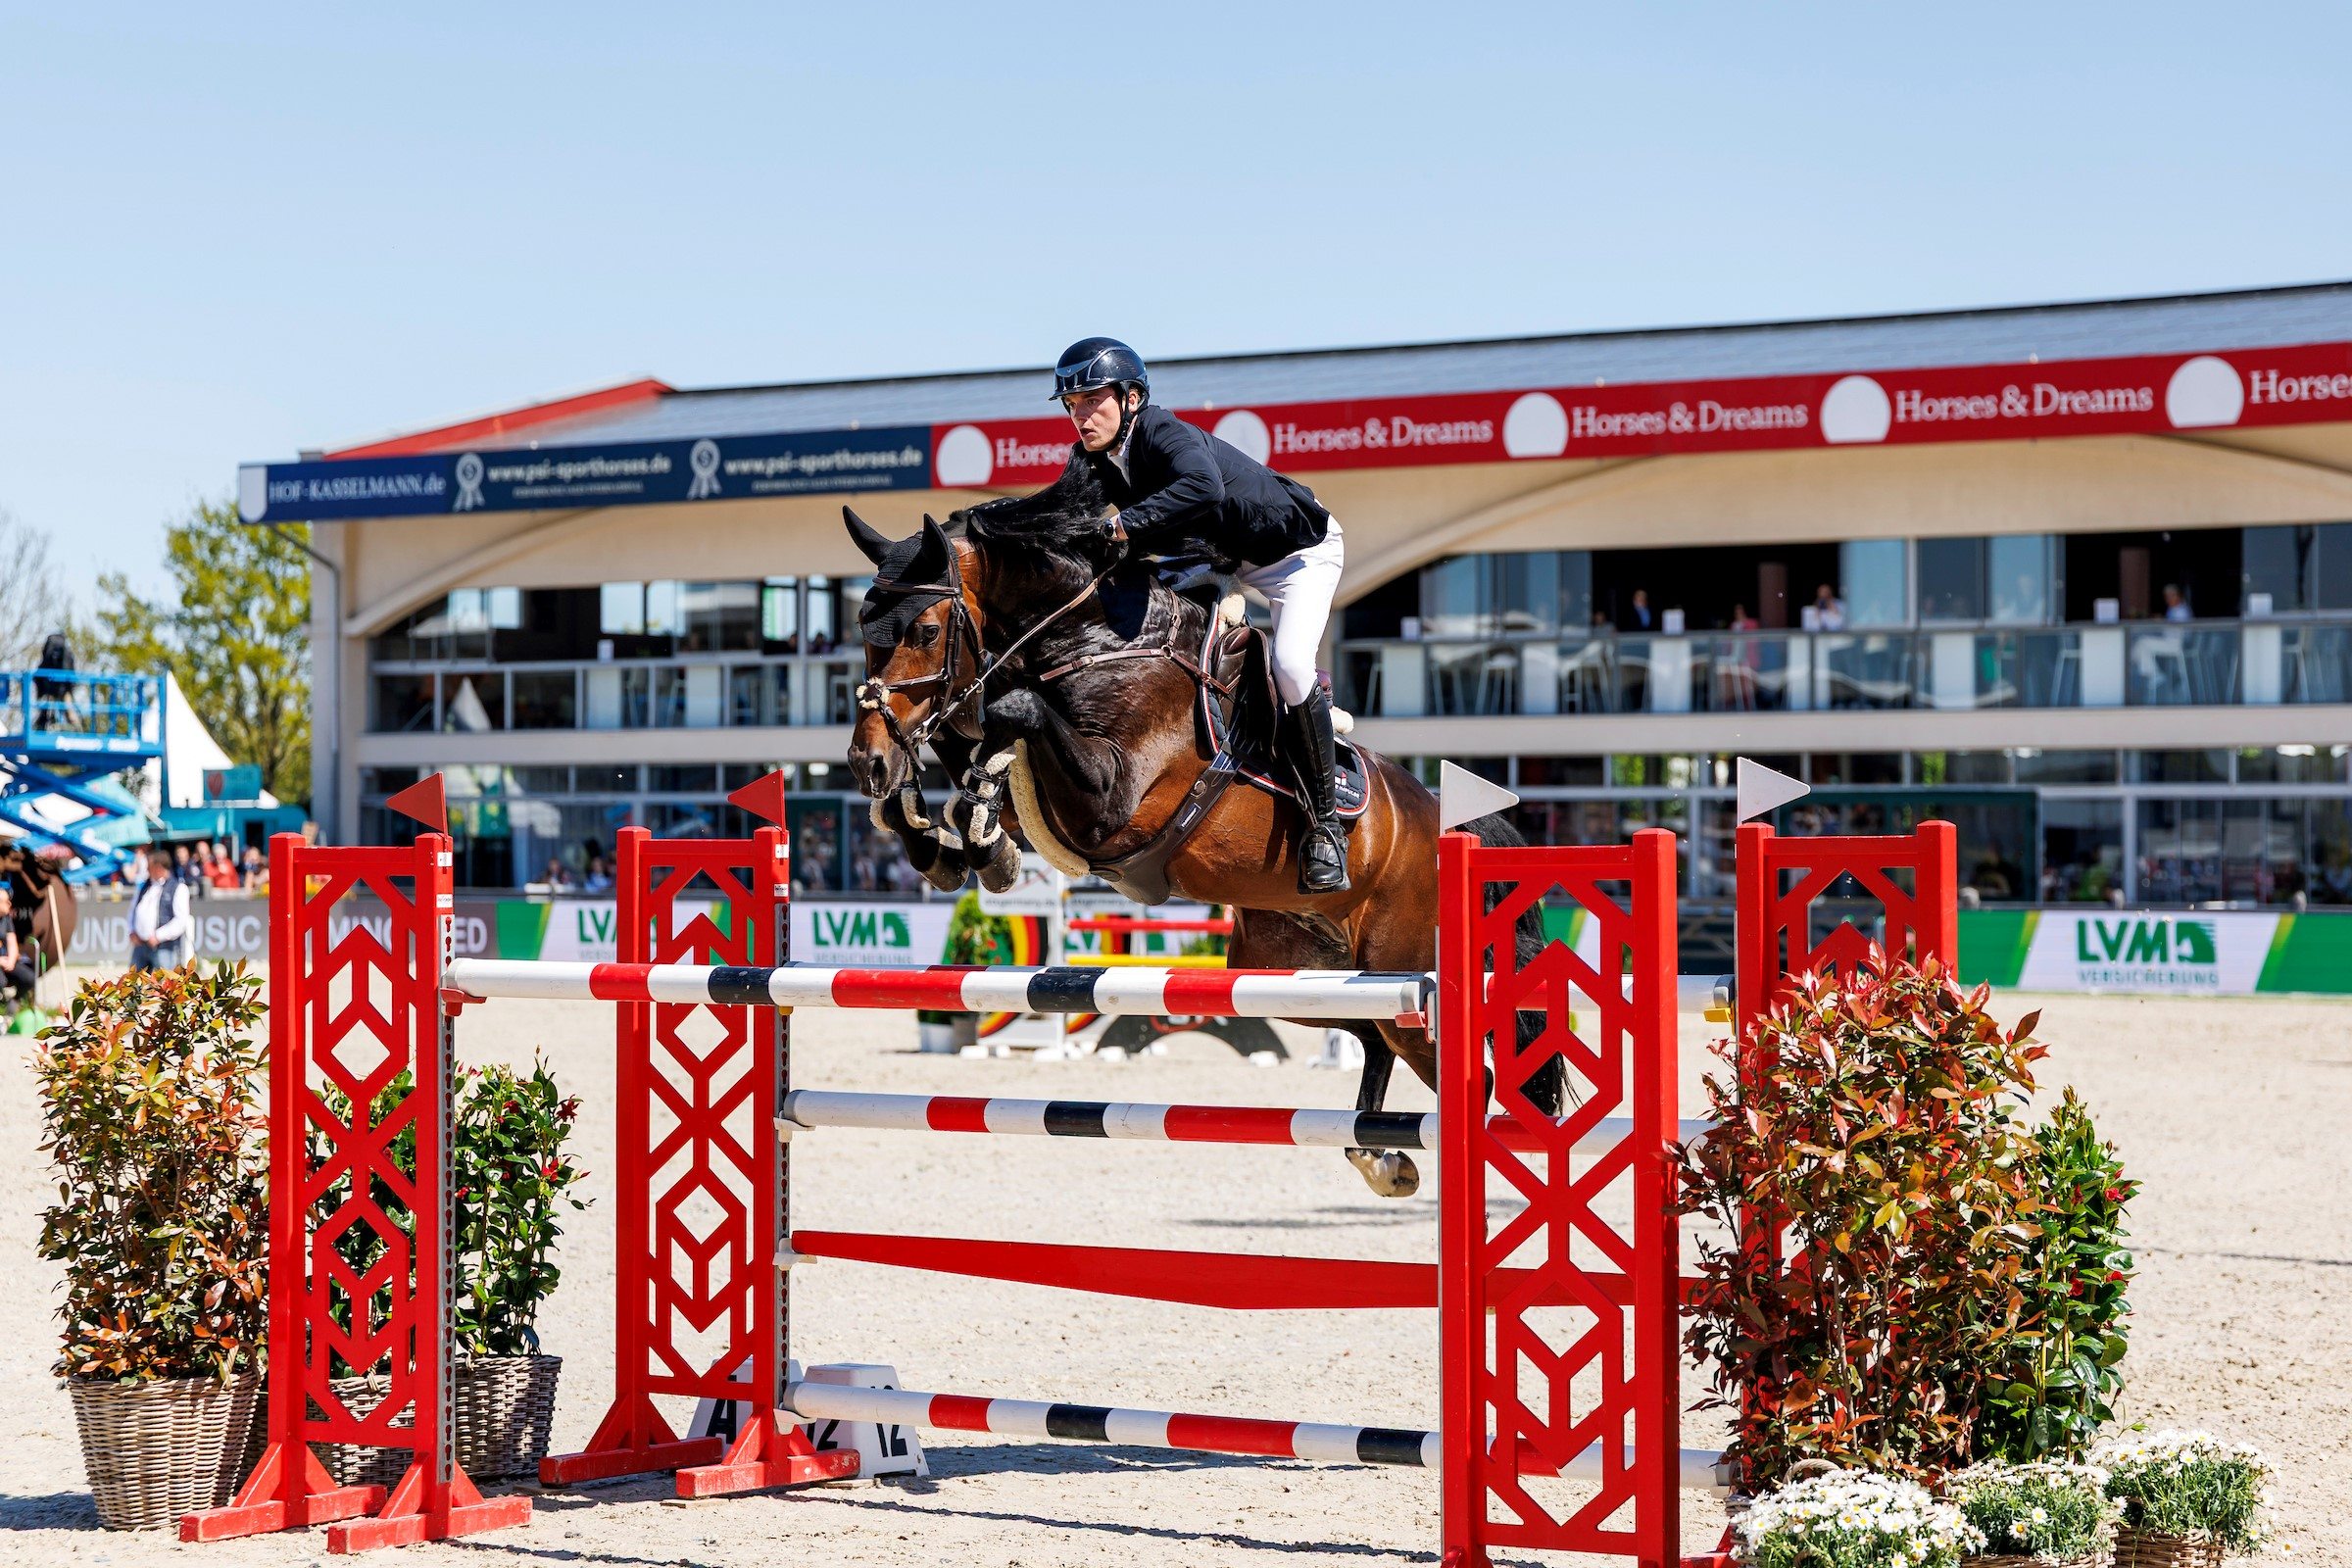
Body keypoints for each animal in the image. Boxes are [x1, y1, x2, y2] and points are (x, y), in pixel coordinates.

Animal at [839, 457, 1561, 1197]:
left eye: (925, 632)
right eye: (862, 630)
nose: (867, 762)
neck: (1094, 641)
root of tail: (1444, 820)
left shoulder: (1113, 804)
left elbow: (1015, 715)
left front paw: (973, 827)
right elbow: (968, 755)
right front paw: (951, 839)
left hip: (1400, 961)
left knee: (1456, 1070)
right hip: (1286, 967)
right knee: (1371, 1035)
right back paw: (1381, 1159)